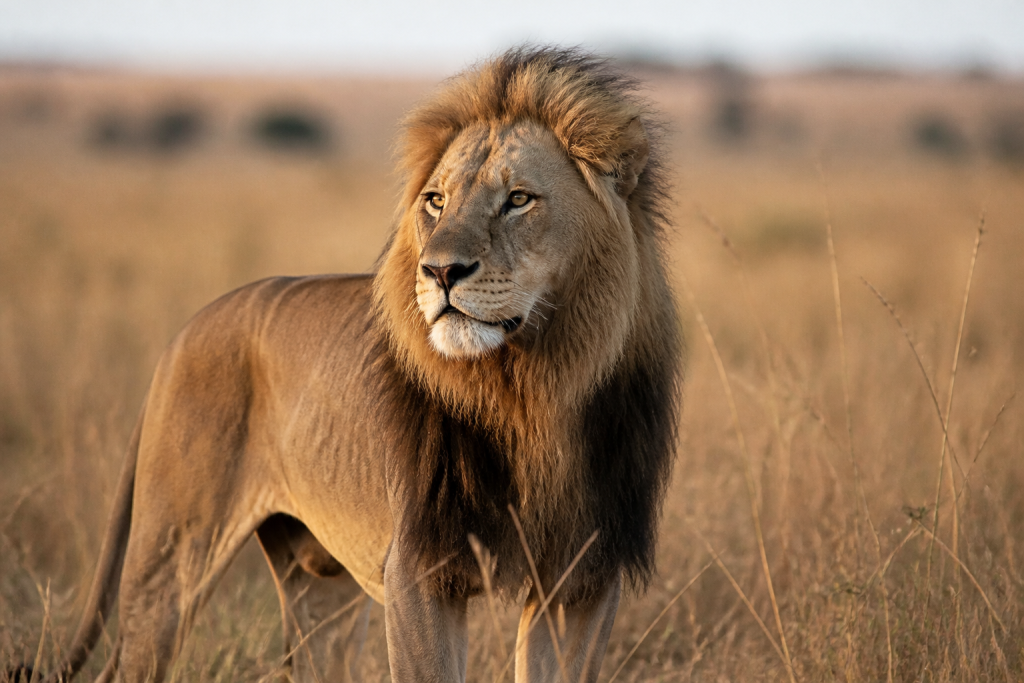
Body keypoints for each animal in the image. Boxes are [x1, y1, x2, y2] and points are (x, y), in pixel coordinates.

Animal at [37, 46, 682, 683]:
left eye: (518, 199)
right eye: (436, 201)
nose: (440, 271)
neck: (534, 393)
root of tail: (183, 334)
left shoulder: (582, 582)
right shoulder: (420, 569)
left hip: (320, 583)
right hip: (171, 559)